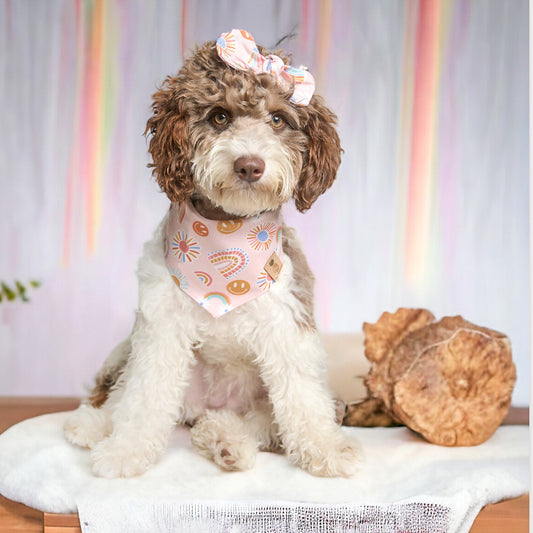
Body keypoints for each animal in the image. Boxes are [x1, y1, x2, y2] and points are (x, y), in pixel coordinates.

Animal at [65, 29, 358, 478]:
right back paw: (93, 424)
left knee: (261, 422)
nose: (249, 165)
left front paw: (327, 450)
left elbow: (304, 399)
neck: (225, 233)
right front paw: (124, 451)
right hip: (154, 363)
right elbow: (143, 397)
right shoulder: (160, 329)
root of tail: (211, 406)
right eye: (219, 116)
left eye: (278, 119)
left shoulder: (289, 325)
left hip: (264, 398)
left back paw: (227, 441)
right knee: (122, 394)